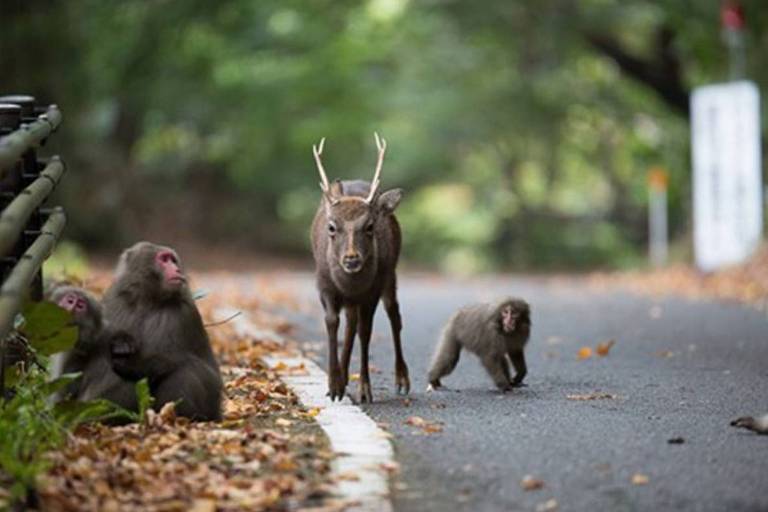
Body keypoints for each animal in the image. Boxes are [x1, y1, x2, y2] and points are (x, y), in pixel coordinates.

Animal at [93, 242, 224, 422]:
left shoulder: (181, 313)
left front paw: (129, 364)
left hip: (211, 402)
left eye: (173, 260)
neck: (148, 299)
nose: (177, 269)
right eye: (164, 259)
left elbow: (168, 358)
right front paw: (121, 342)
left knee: (185, 370)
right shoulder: (114, 301)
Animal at [310, 133, 412, 404]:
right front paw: (334, 385)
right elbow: (332, 321)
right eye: (332, 227)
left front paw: (364, 389)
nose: (351, 259)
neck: (349, 285)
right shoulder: (323, 283)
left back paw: (402, 380)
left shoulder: (371, 291)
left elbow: (366, 333)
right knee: (351, 323)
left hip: (390, 274)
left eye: (369, 226)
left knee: (394, 315)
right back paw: (344, 377)